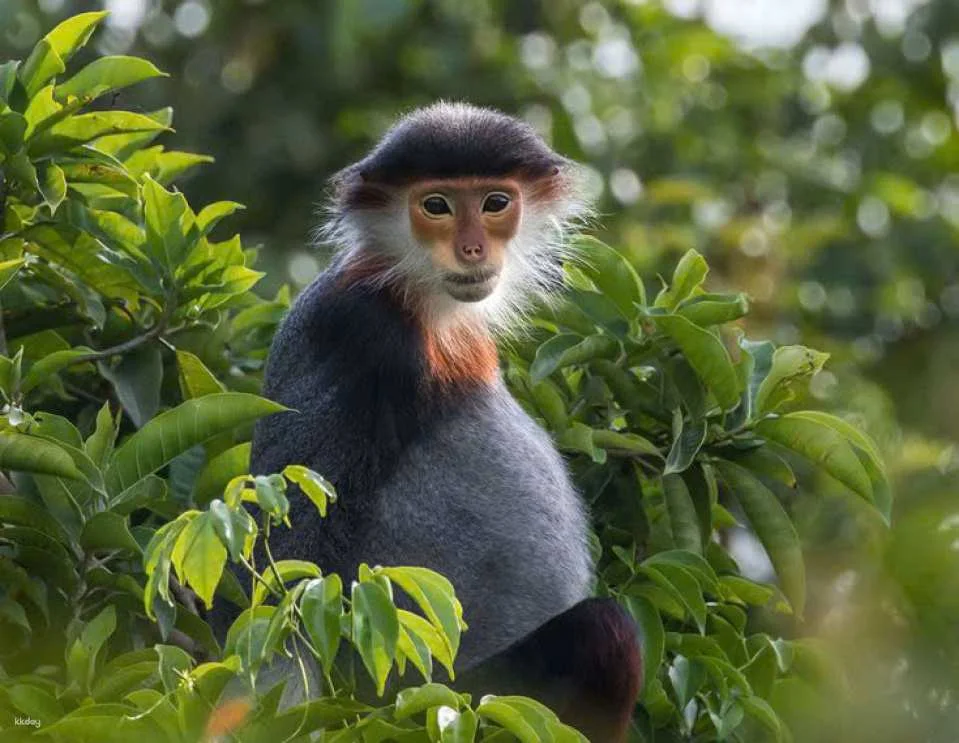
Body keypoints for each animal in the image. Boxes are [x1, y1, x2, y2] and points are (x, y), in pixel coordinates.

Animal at [223, 103, 641, 741]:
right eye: (437, 206)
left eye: (495, 203)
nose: (471, 250)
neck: (417, 299)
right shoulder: (355, 332)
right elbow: (290, 568)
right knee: (607, 633)